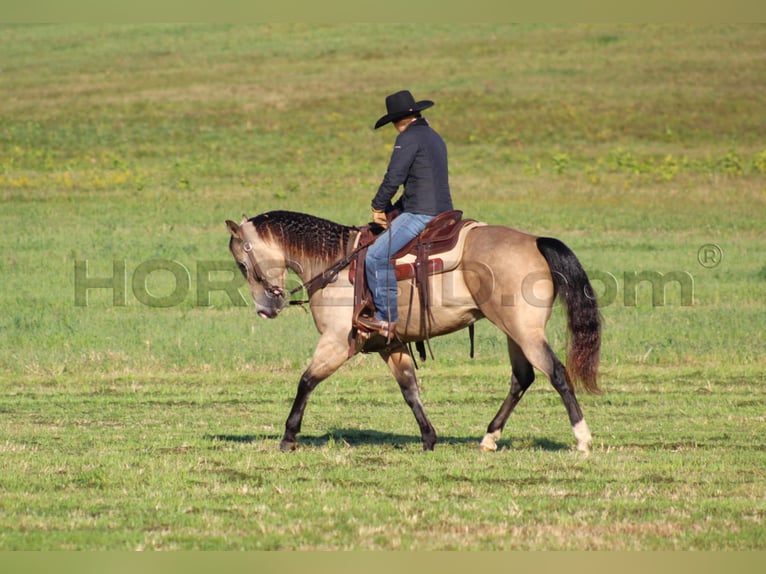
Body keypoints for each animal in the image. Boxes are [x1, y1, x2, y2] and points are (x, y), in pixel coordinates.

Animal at [225, 209, 604, 456]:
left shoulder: (336, 342)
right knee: (522, 379)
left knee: (556, 373)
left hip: (525, 332)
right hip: (514, 332)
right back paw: (489, 438)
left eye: (243, 264)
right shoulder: (389, 345)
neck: (337, 263)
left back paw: (582, 439)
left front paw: (289, 436)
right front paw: (428, 438)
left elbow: (306, 381)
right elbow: (410, 389)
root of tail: (536, 241)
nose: (266, 309)